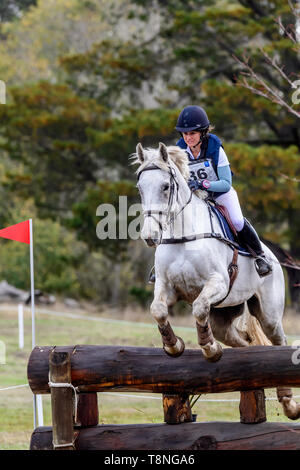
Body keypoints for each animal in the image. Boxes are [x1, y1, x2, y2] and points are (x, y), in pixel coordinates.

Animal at [133, 141, 300, 420]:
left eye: (165, 186)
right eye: (140, 187)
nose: (150, 236)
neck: (184, 237)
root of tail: (274, 257)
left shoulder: (217, 283)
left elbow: (199, 306)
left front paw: (209, 349)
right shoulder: (167, 287)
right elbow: (157, 310)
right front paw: (174, 345)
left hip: (268, 314)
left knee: (279, 342)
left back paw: (289, 403)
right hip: (223, 316)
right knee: (243, 344)